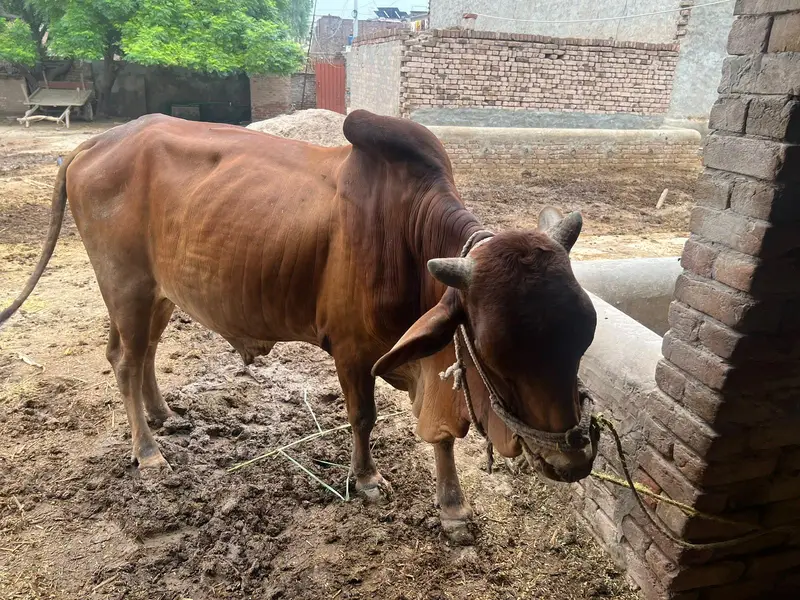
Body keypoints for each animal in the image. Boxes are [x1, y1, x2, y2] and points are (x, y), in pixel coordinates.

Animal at [1, 111, 598, 542]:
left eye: (583, 339)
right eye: (495, 354)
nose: (572, 459)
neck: (405, 236)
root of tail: (91, 145)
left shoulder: (425, 355)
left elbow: (440, 434)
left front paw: (452, 507)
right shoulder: (354, 352)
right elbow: (363, 418)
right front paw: (366, 480)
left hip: (158, 293)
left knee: (140, 350)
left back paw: (163, 415)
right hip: (125, 285)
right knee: (126, 361)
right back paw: (148, 451)